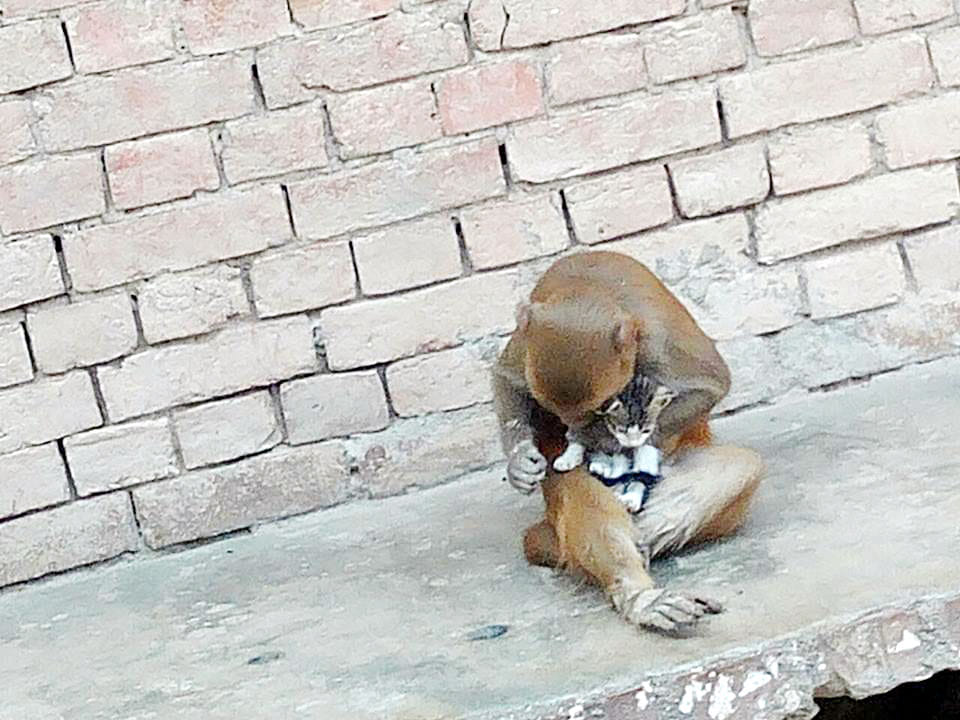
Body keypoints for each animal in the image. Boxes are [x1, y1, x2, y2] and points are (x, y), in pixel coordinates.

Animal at [492, 250, 763, 634]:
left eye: (598, 409)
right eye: (554, 412)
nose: (573, 428)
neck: (586, 287)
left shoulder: (657, 337)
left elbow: (709, 385)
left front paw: (600, 440)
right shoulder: (526, 334)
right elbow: (507, 378)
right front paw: (521, 462)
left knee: (740, 465)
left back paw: (644, 536)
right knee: (581, 492)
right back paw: (640, 595)